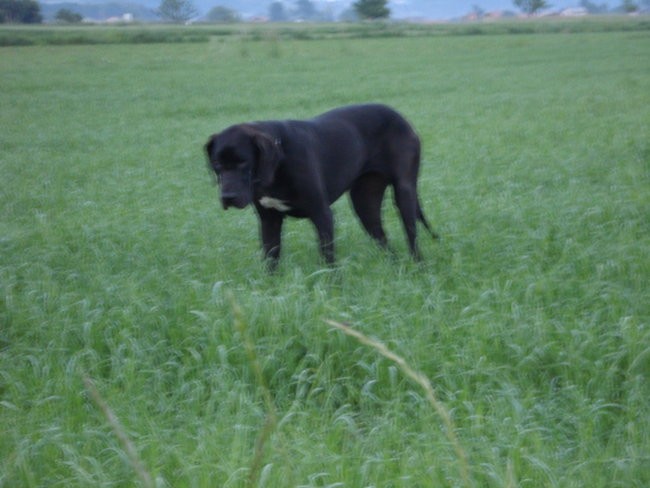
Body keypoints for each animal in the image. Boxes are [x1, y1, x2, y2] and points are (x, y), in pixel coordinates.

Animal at [204, 104, 436, 270]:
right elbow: (271, 258)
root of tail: (401, 117)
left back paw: (419, 267)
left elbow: (328, 258)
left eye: (243, 162)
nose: (228, 196)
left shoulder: (321, 214)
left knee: (412, 235)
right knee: (384, 240)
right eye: (217, 164)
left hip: (404, 192)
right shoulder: (269, 220)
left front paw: (334, 289)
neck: (277, 163)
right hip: (365, 203)